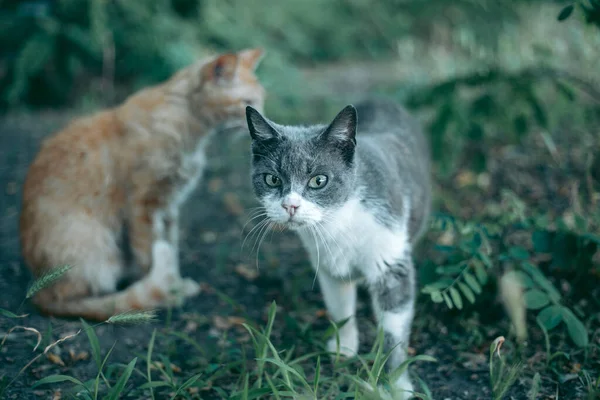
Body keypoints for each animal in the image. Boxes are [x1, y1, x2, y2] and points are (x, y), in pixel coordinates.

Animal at [19, 48, 266, 320]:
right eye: (247, 102)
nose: (262, 120)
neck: (189, 131)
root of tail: (37, 292)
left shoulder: (169, 205)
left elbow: (171, 245)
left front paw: (174, 282)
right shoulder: (142, 204)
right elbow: (149, 254)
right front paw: (167, 289)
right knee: (81, 300)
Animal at [245, 98, 432, 396]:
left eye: (319, 180)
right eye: (272, 179)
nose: (290, 205)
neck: (339, 222)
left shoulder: (391, 259)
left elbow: (394, 331)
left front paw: (397, 385)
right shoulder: (329, 265)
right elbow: (340, 309)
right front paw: (343, 348)